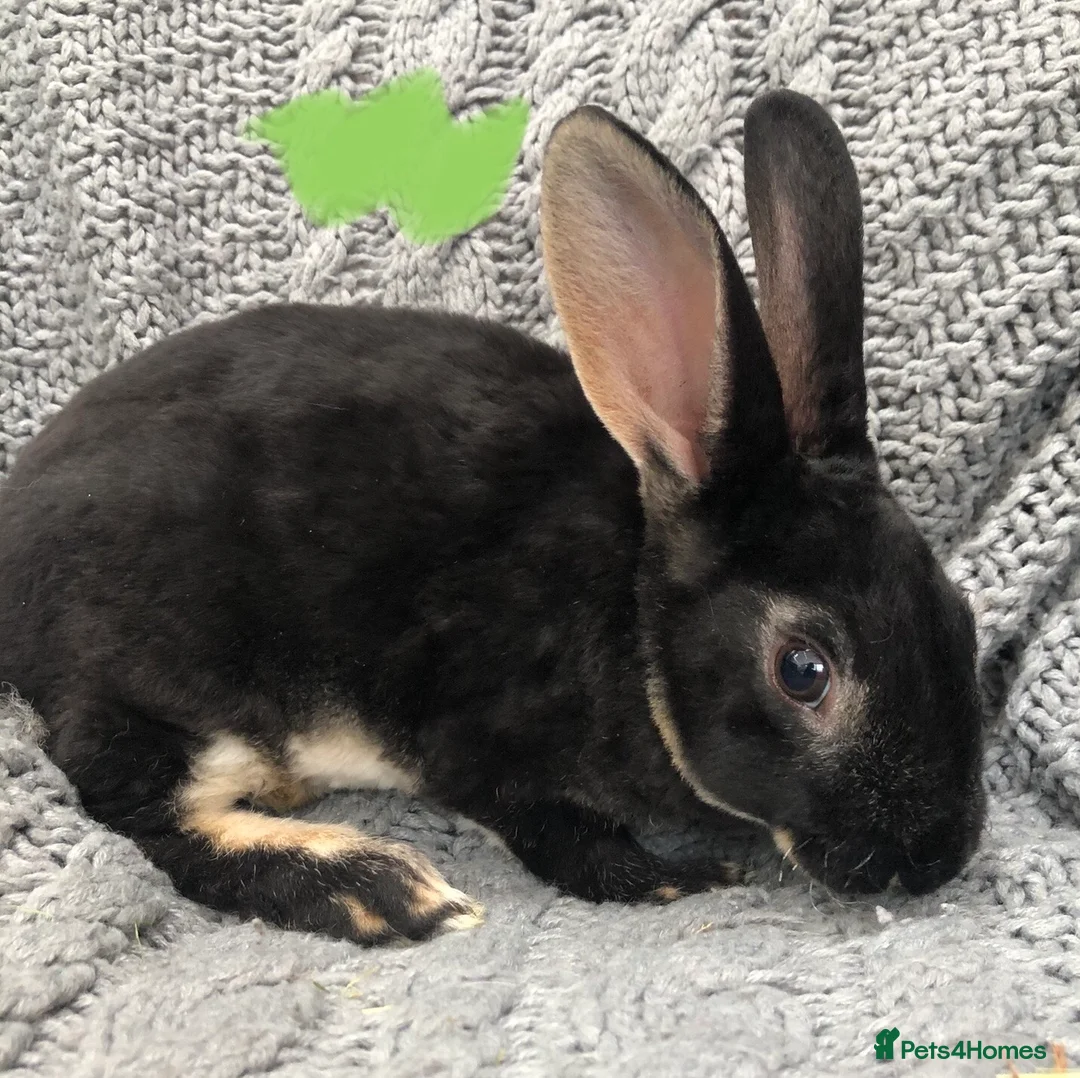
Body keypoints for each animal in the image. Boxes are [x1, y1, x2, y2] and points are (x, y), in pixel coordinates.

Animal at [0, 89, 986, 944]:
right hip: (172, 681)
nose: (937, 858)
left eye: (963, 617)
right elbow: (555, 833)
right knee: (140, 812)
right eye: (803, 670)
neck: (632, 616)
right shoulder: (481, 741)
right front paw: (678, 880)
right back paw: (379, 886)